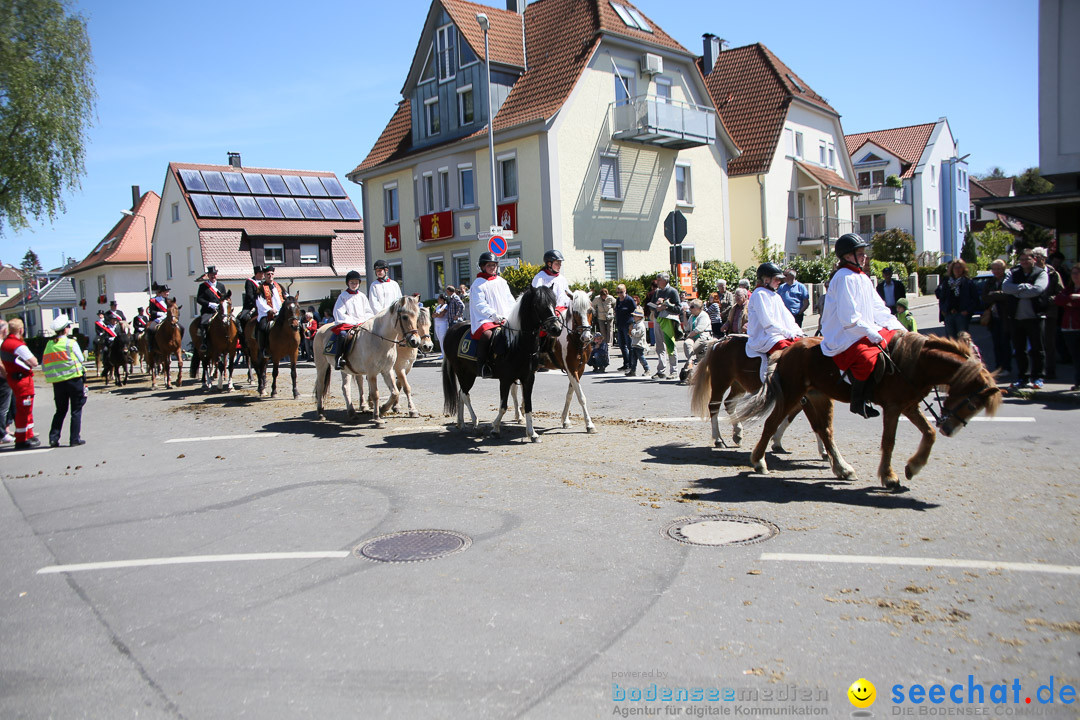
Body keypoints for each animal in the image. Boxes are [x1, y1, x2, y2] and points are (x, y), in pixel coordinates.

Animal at [313, 295, 421, 425]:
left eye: (417, 316)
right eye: (404, 317)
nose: (415, 341)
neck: (380, 340)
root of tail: (320, 329)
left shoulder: (387, 370)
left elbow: (395, 392)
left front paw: (383, 409)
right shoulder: (372, 372)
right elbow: (375, 394)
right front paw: (377, 418)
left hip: (345, 369)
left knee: (345, 388)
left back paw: (352, 413)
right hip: (321, 365)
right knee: (320, 386)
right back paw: (320, 413)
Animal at [440, 284, 561, 442]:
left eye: (554, 302)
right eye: (537, 304)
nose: (556, 329)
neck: (517, 345)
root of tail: (452, 329)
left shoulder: (528, 378)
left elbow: (528, 405)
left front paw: (532, 433)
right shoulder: (505, 379)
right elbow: (503, 406)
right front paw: (495, 428)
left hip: (468, 374)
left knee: (461, 394)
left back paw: (461, 423)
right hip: (463, 372)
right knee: (465, 395)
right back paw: (475, 423)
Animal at [686, 334, 829, 459]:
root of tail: (719, 342)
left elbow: (789, 418)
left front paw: (776, 442)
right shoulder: (807, 399)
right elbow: (815, 423)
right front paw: (824, 452)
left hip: (739, 385)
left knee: (729, 403)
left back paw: (737, 433)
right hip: (721, 382)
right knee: (714, 406)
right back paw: (718, 439)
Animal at [734, 330, 1002, 490]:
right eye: (972, 403)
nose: (949, 428)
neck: (913, 363)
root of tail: (787, 350)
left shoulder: (909, 405)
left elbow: (928, 433)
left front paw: (913, 466)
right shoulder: (894, 407)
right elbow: (889, 441)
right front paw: (889, 476)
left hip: (817, 397)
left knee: (824, 431)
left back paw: (842, 468)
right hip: (792, 394)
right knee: (772, 424)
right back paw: (759, 461)